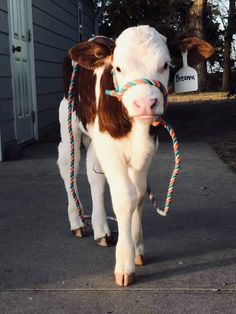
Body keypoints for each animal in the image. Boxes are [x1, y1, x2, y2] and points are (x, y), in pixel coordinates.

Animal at [57, 26, 214, 288]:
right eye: (118, 68)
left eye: (165, 65)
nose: (145, 104)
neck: (135, 128)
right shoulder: (111, 148)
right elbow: (125, 198)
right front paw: (124, 263)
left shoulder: (148, 147)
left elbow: (139, 195)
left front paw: (137, 248)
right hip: (69, 120)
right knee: (68, 164)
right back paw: (77, 222)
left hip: (96, 138)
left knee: (94, 174)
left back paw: (101, 229)